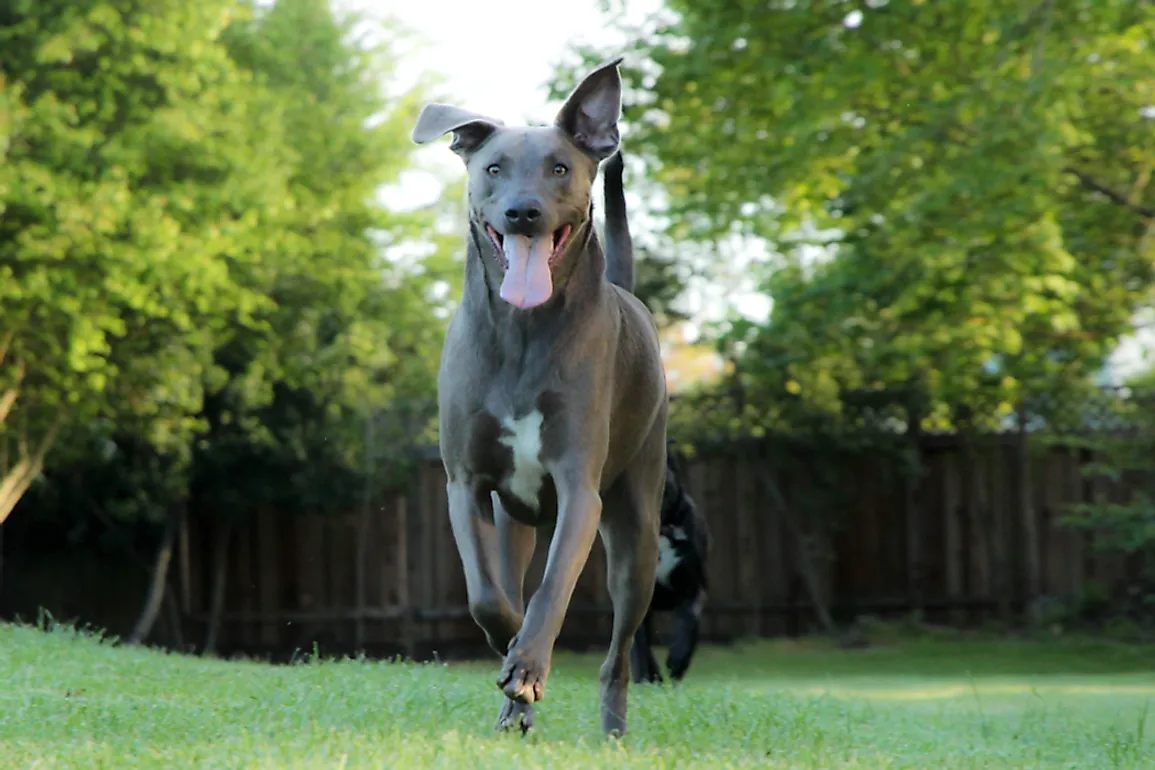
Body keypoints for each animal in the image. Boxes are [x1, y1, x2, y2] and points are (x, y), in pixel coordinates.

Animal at [413, 57, 669, 738]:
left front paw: (526, 668)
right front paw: (511, 660)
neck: (524, 331)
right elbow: (489, 596)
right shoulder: (465, 483)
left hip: (639, 529)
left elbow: (551, 592)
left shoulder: (579, 486)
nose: (523, 213)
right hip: (515, 522)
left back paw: (612, 727)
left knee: (620, 648)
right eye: (492, 168)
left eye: (559, 168)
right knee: (511, 579)